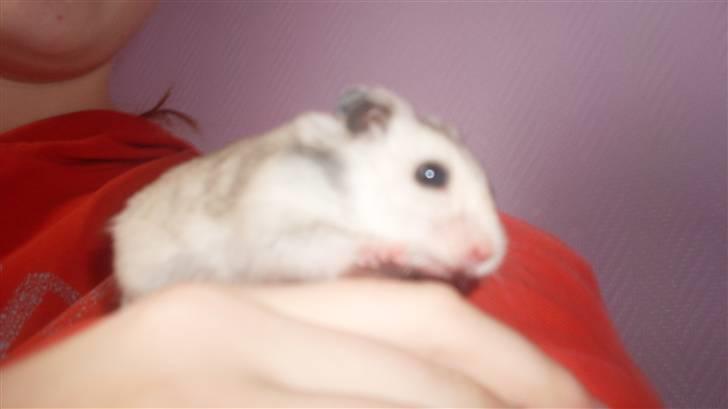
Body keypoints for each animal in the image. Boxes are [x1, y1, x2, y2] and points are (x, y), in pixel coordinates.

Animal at [111, 87, 507, 302]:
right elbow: (332, 244)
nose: (487, 255)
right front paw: (382, 251)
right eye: (431, 174)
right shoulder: (279, 233)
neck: (356, 199)